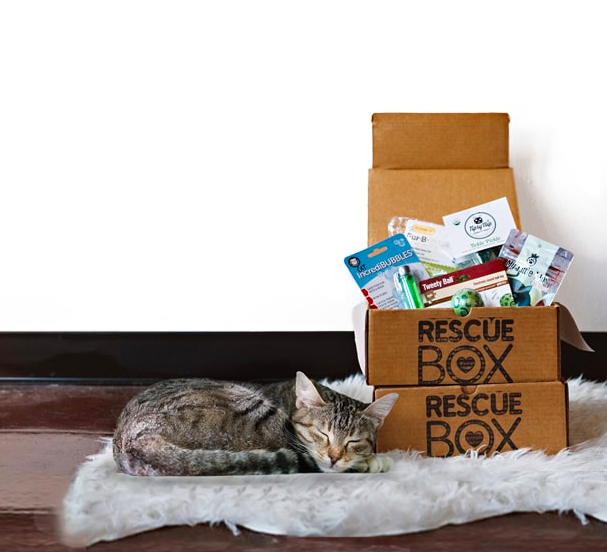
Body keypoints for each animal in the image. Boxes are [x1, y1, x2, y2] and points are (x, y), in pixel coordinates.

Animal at [113, 374, 400, 476]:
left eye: (354, 441)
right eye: (322, 433)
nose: (334, 457)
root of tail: (131, 440)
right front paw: (370, 461)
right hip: (256, 412)